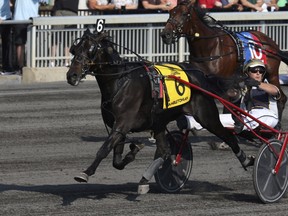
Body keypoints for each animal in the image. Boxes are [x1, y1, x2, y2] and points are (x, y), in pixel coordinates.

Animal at [67, 29, 254, 194]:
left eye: (91, 49)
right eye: (74, 49)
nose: (72, 75)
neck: (120, 81)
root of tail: (201, 75)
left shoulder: (123, 123)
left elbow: (104, 149)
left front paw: (85, 173)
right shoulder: (118, 125)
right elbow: (117, 160)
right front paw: (134, 150)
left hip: (206, 116)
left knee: (228, 136)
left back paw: (246, 160)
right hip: (159, 122)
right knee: (165, 151)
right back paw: (144, 180)